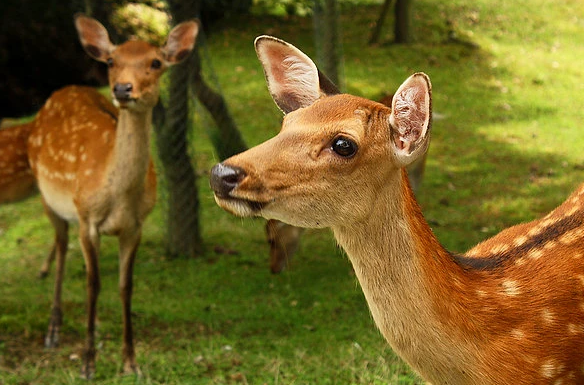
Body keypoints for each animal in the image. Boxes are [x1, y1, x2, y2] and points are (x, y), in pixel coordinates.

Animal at [0, 15, 200, 378]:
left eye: (156, 62)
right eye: (111, 61)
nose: (122, 89)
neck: (117, 196)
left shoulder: (135, 226)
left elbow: (125, 286)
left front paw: (130, 362)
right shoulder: (87, 220)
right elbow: (93, 286)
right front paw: (88, 363)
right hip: (49, 198)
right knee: (61, 248)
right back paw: (53, 330)